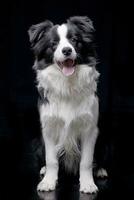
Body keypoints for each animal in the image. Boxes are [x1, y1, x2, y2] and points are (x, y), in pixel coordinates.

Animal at [28, 15, 105, 194]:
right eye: (54, 43)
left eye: (74, 40)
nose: (67, 51)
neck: (67, 84)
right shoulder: (49, 128)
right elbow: (51, 160)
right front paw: (48, 182)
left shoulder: (90, 129)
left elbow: (86, 161)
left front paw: (88, 184)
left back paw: (100, 170)